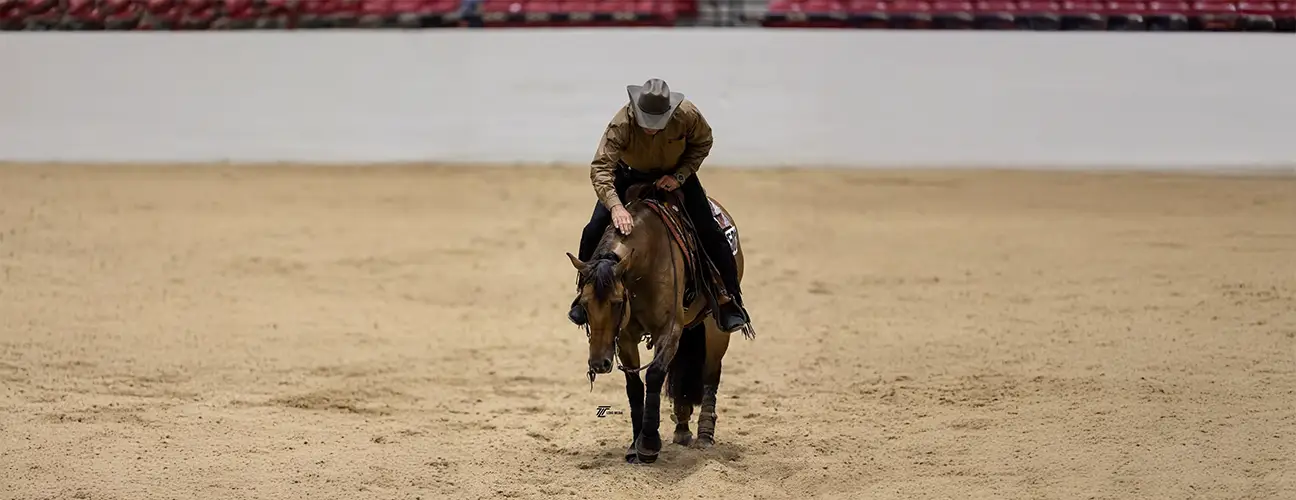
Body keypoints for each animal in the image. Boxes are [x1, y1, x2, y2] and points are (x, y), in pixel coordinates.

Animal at [565, 182, 754, 464]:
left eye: (618, 302)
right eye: (585, 303)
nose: (599, 364)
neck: (647, 261)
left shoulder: (669, 330)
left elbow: (653, 374)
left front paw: (649, 445)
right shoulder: (626, 338)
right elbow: (634, 385)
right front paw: (635, 445)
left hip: (714, 328)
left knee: (711, 373)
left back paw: (705, 435)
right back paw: (682, 428)